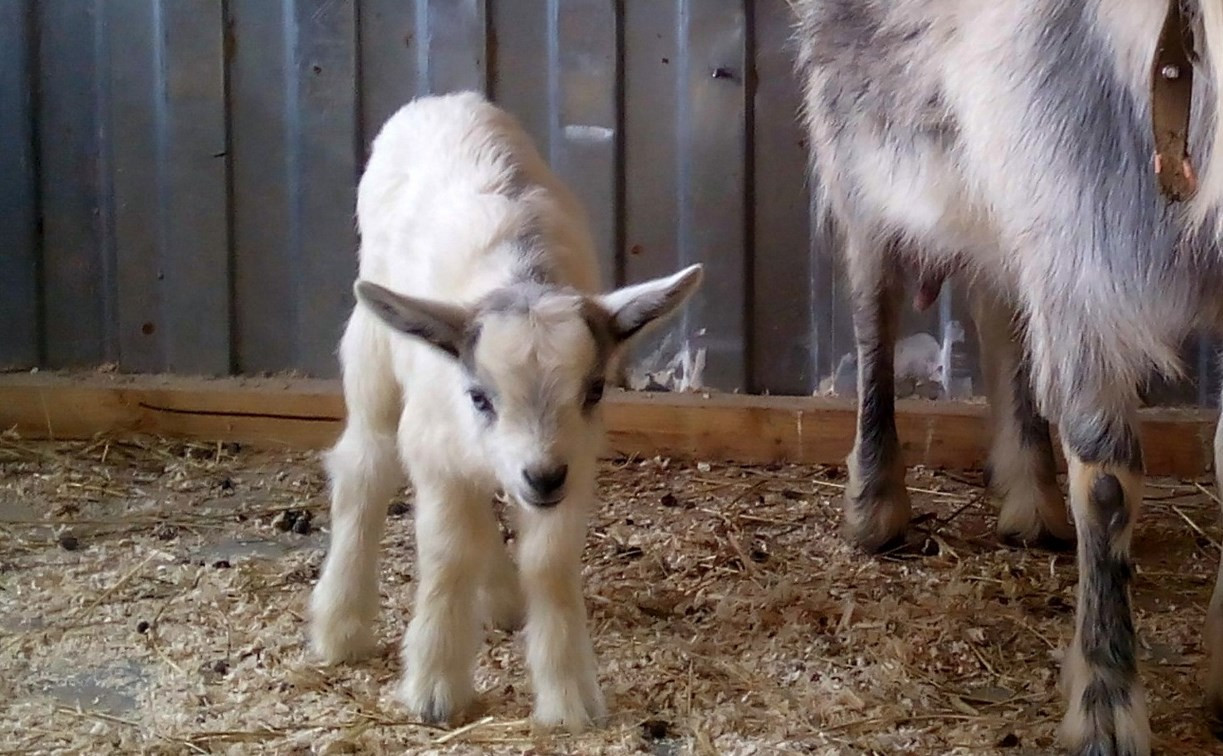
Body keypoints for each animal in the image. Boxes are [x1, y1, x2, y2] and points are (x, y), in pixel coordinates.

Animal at [310, 89, 704, 729]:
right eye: (478, 396)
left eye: (594, 390)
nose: (541, 478)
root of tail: (442, 99)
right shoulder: (436, 450)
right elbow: (447, 553)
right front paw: (435, 690)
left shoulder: (574, 462)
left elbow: (547, 561)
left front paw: (569, 698)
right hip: (373, 347)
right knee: (364, 467)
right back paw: (341, 624)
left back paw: (499, 595)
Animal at [797, 1, 1223, 753]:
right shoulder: (1074, 244)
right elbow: (1107, 479)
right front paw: (1104, 707)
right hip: (859, 144)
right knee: (874, 308)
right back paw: (874, 505)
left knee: (997, 304)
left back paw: (1031, 495)